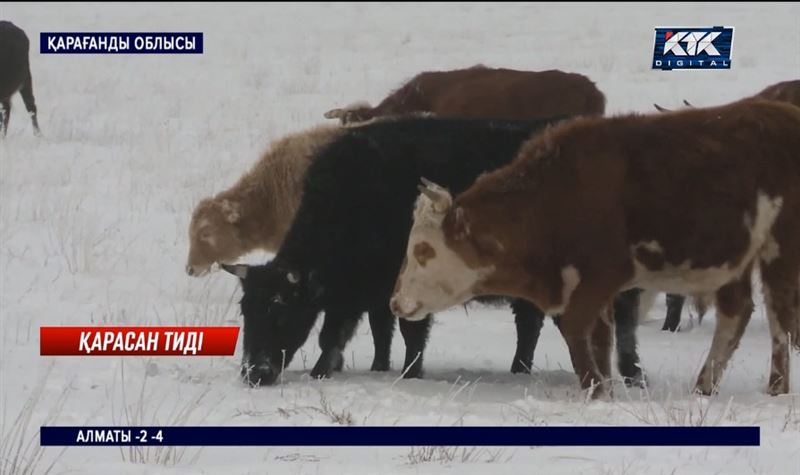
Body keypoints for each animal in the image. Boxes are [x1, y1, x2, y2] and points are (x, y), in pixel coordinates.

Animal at [223, 117, 644, 388]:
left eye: (279, 310)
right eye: (246, 310)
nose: (254, 373)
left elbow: (399, 333)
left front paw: (407, 374)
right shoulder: (366, 293)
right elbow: (374, 331)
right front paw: (375, 367)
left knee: (622, 326)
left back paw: (631, 375)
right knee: (530, 324)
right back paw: (520, 369)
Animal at [392, 99, 800, 398]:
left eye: (423, 250)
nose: (396, 302)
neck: (554, 194)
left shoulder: (603, 274)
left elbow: (576, 327)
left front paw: (595, 388)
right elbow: (600, 337)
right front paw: (605, 388)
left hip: (779, 248)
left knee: (779, 318)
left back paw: (776, 387)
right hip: (735, 260)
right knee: (736, 313)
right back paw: (704, 387)